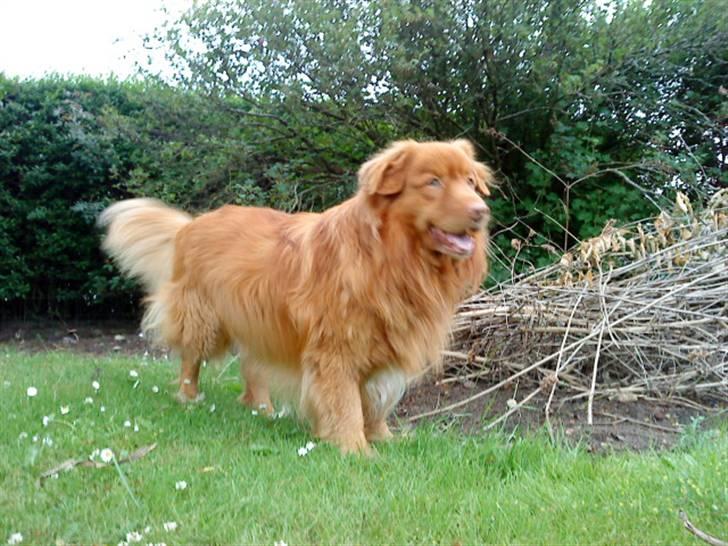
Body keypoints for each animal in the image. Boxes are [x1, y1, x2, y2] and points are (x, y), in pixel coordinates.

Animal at [99, 139, 492, 450]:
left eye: (470, 182)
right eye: (433, 182)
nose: (481, 211)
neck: (391, 256)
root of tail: (192, 223)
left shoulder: (386, 339)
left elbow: (377, 399)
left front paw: (383, 437)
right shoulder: (335, 347)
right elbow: (346, 402)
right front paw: (354, 448)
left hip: (257, 321)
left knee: (252, 365)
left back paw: (261, 409)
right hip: (204, 318)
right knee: (190, 359)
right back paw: (189, 397)